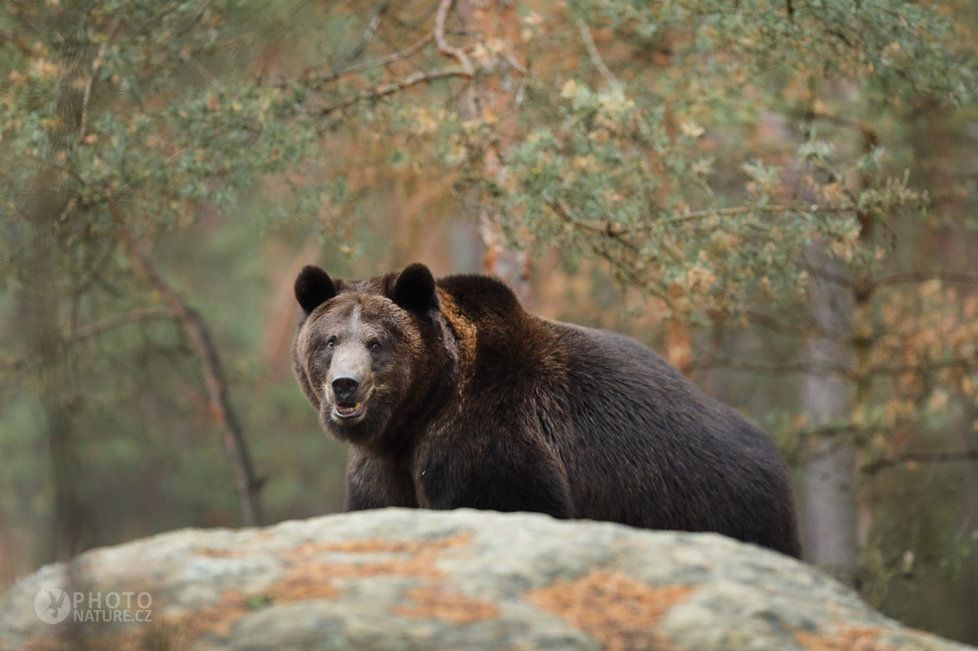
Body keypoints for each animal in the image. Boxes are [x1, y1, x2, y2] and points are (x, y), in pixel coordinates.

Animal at [292, 262, 800, 556]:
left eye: (377, 342)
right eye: (329, 341)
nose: (345, 386)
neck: (418, 412)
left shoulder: (488, 435)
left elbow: (506, 499)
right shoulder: (382, 470)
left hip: (715, 504)